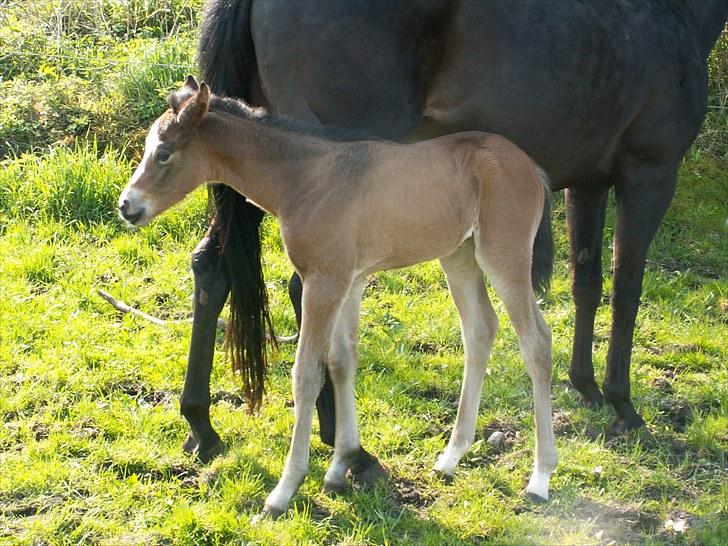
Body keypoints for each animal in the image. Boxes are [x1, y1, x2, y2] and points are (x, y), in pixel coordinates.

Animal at [118, 77, 556, 520]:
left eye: (164, 153)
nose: (126, 206)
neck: (305, 178)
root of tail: (532, 169)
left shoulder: (324, 281)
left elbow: (306, 373)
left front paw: (283, 492)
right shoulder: (350, 280)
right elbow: (342, 363)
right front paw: (340, 465)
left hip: (504, 254)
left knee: (536, 340)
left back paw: (540, 478)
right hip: (459, 256)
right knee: (480, 331)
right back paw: (450, 458)